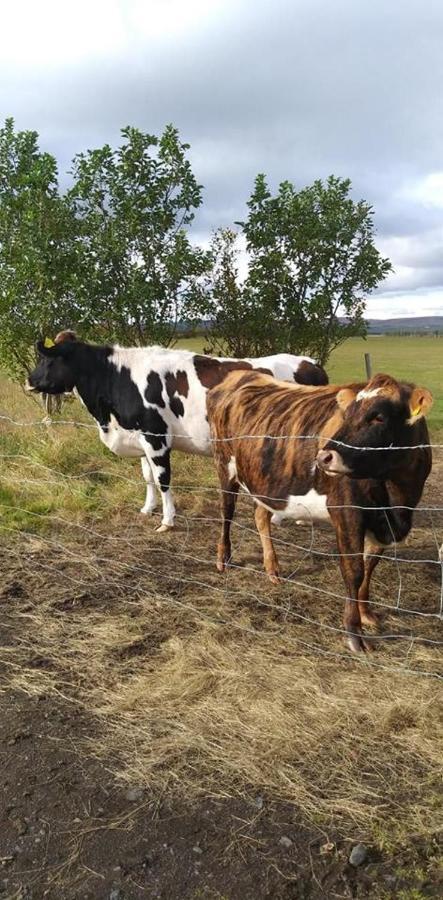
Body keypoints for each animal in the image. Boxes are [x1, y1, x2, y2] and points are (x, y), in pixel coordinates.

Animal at [26, 328, 328, 528]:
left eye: (47, 360)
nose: (29, 381)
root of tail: (310, 363)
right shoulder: (140, 438)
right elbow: (147, 477)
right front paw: (147, 508)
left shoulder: (156, 436)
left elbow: (163, 478)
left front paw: (167, 520)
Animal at [208, 370, 434, 652]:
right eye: (347, 414)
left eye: (379, 417)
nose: (324, 457)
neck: (397, 498)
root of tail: (243, 374)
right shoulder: (346, 512)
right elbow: (354, 571)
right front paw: (354, 633)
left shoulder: (385, 524)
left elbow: (370, 565)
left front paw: (366, 613)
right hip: (224, 464)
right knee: (226, 510)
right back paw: (223, 557)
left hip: (263, 479)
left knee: (260, 516)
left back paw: (272, 569)